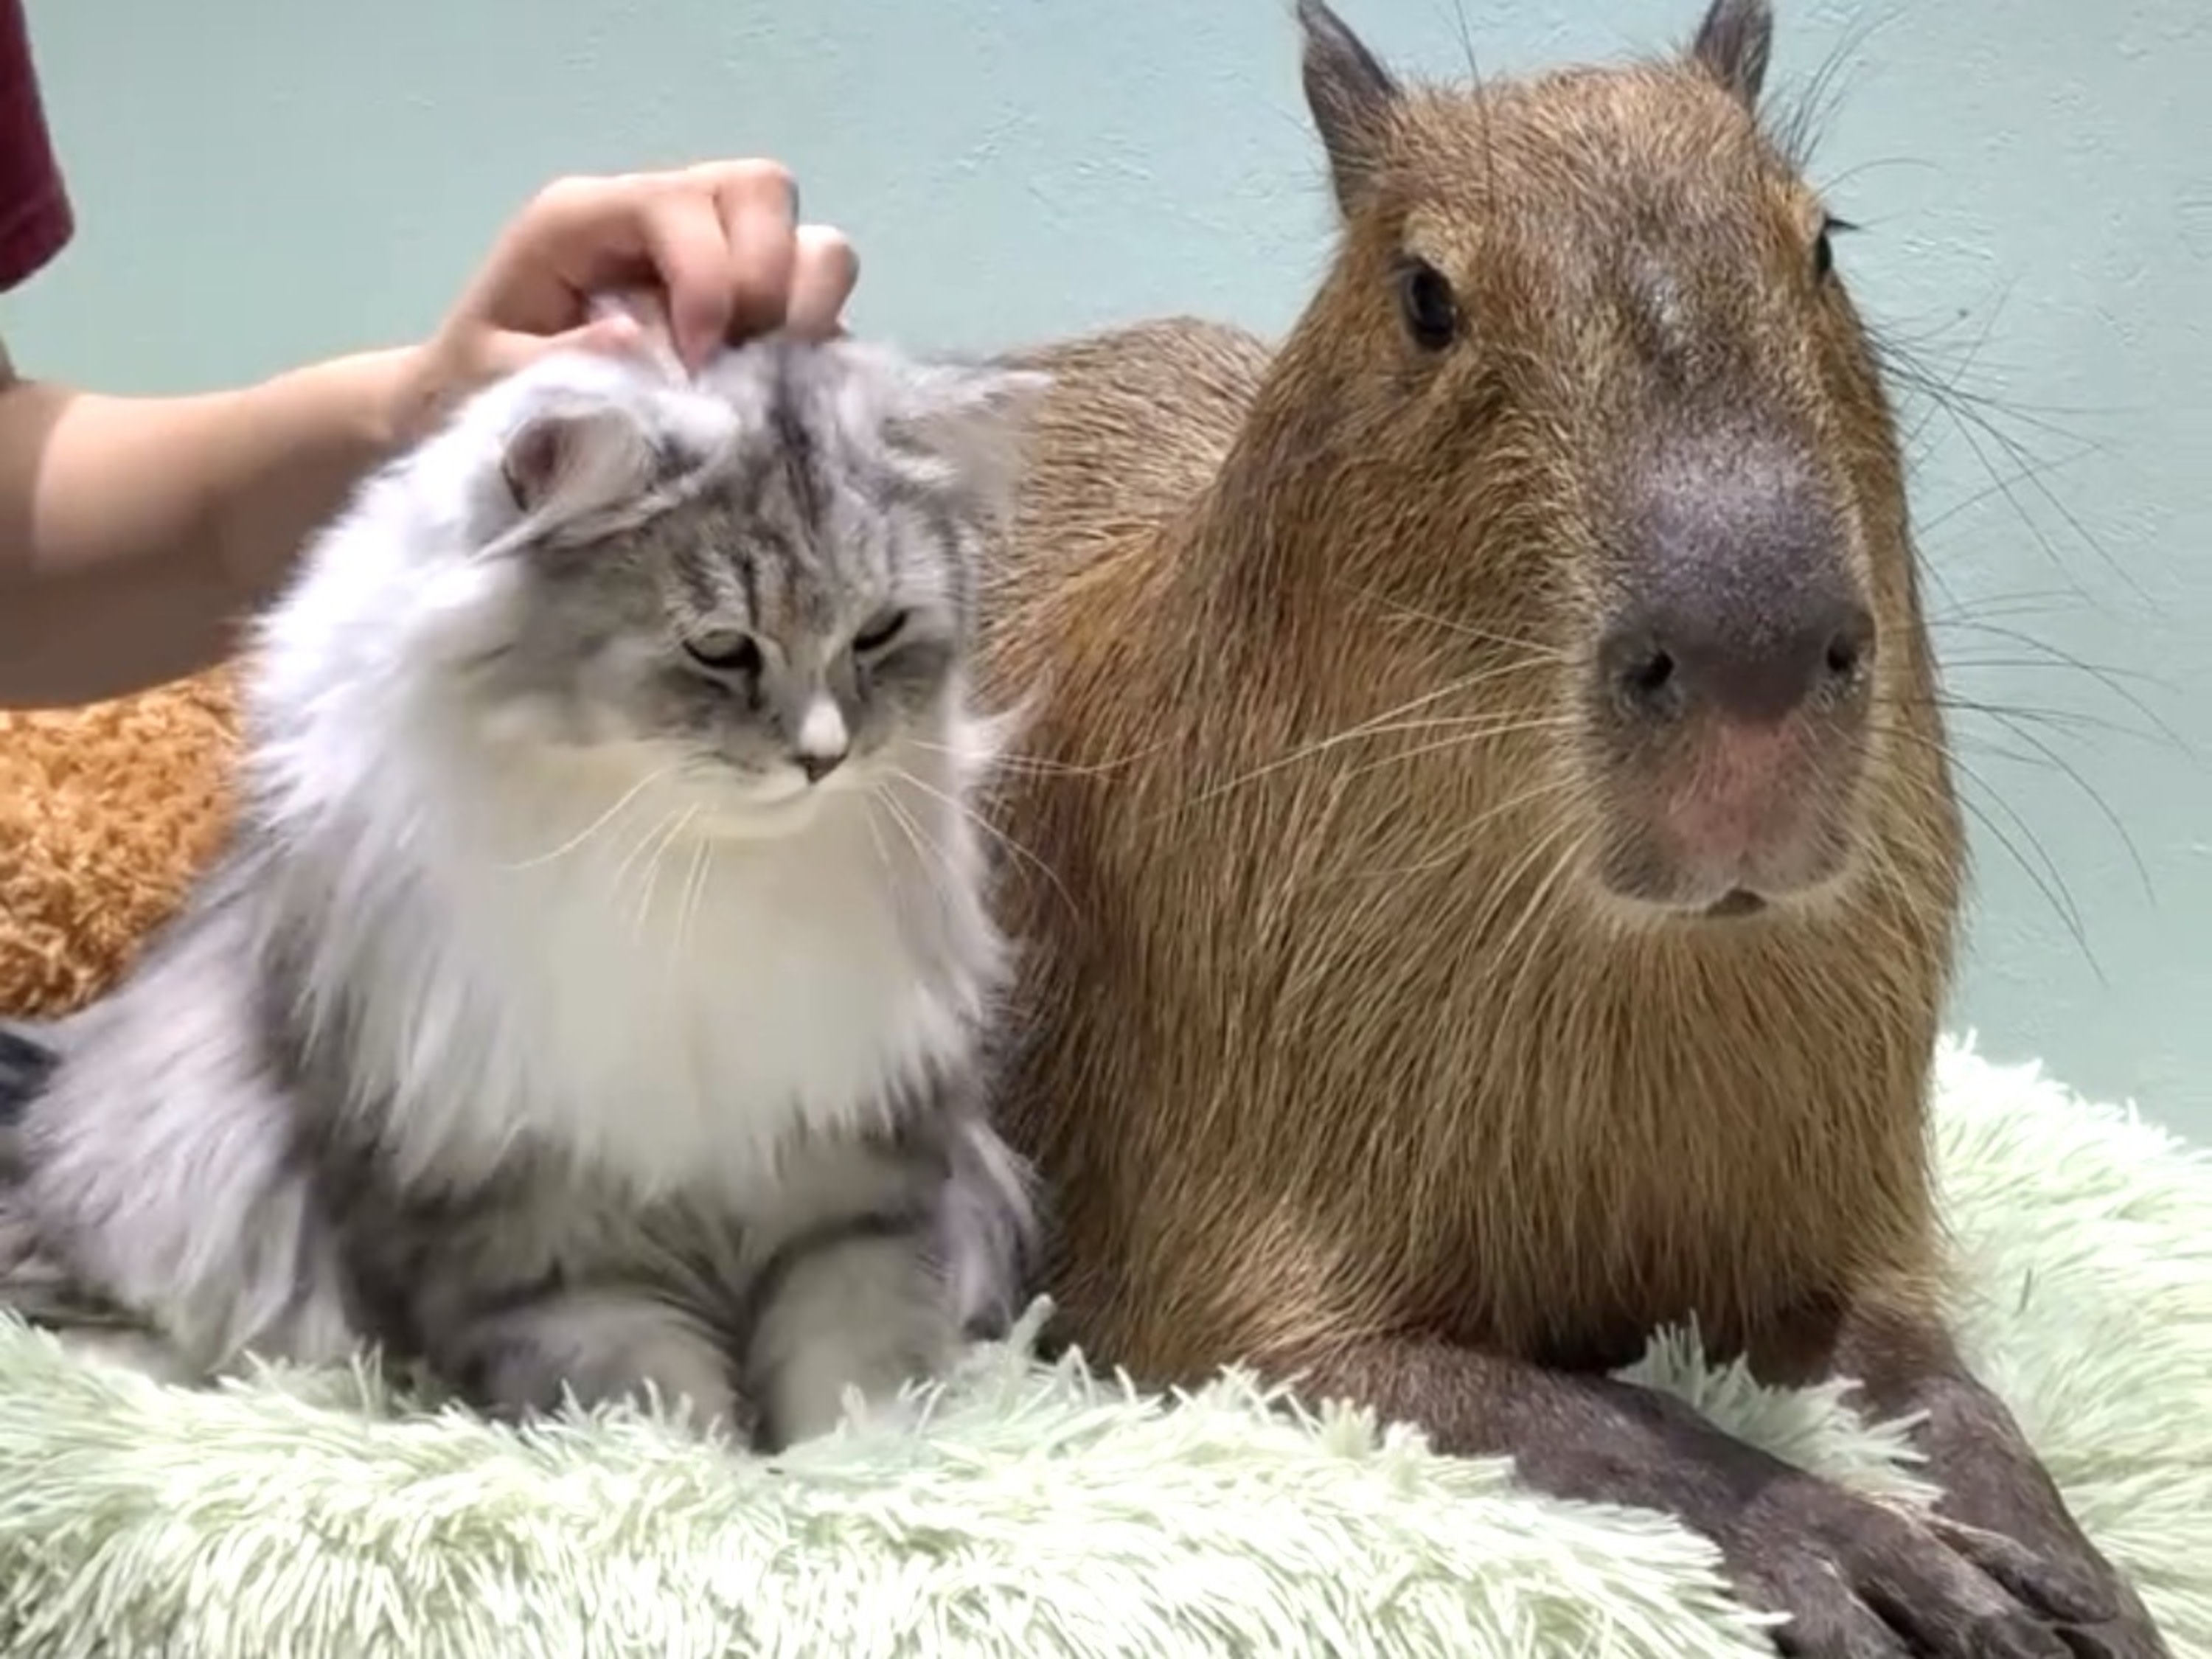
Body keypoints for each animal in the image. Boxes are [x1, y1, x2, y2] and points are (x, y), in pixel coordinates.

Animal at [0, 327, 1049, 1450]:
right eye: (721, 647)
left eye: (879, 633)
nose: (824, 757)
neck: (693, 881)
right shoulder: (545, 1229)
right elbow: (653, 1404)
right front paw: (690, 1474)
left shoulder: (848, 1184)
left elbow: (854, 1375)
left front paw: (857, 1468)